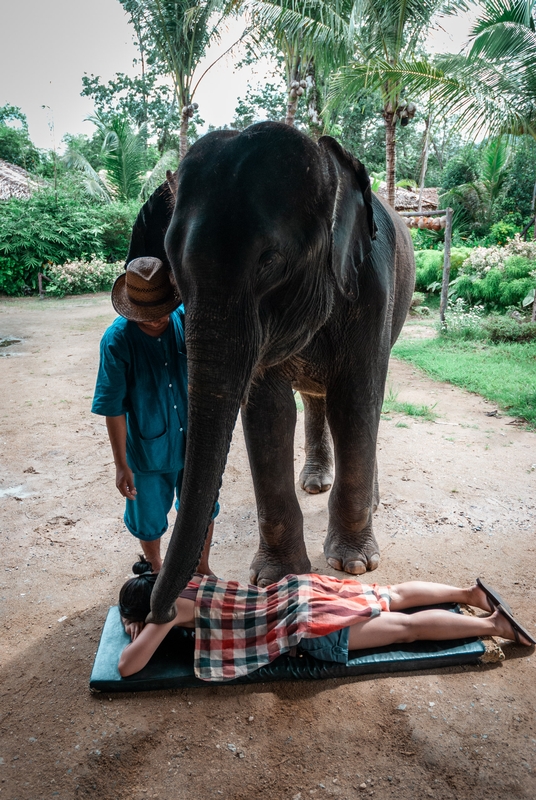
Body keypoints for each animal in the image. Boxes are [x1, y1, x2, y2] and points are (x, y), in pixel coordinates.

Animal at [125, 123, 414, 624]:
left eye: (269, 260)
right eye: (171, 263)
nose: (157, 612)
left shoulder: (373, 292)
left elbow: (356, 403)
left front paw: (354, 564)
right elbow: (269, 413)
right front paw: (279, 578)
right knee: (315, 398)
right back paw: (314, 482)